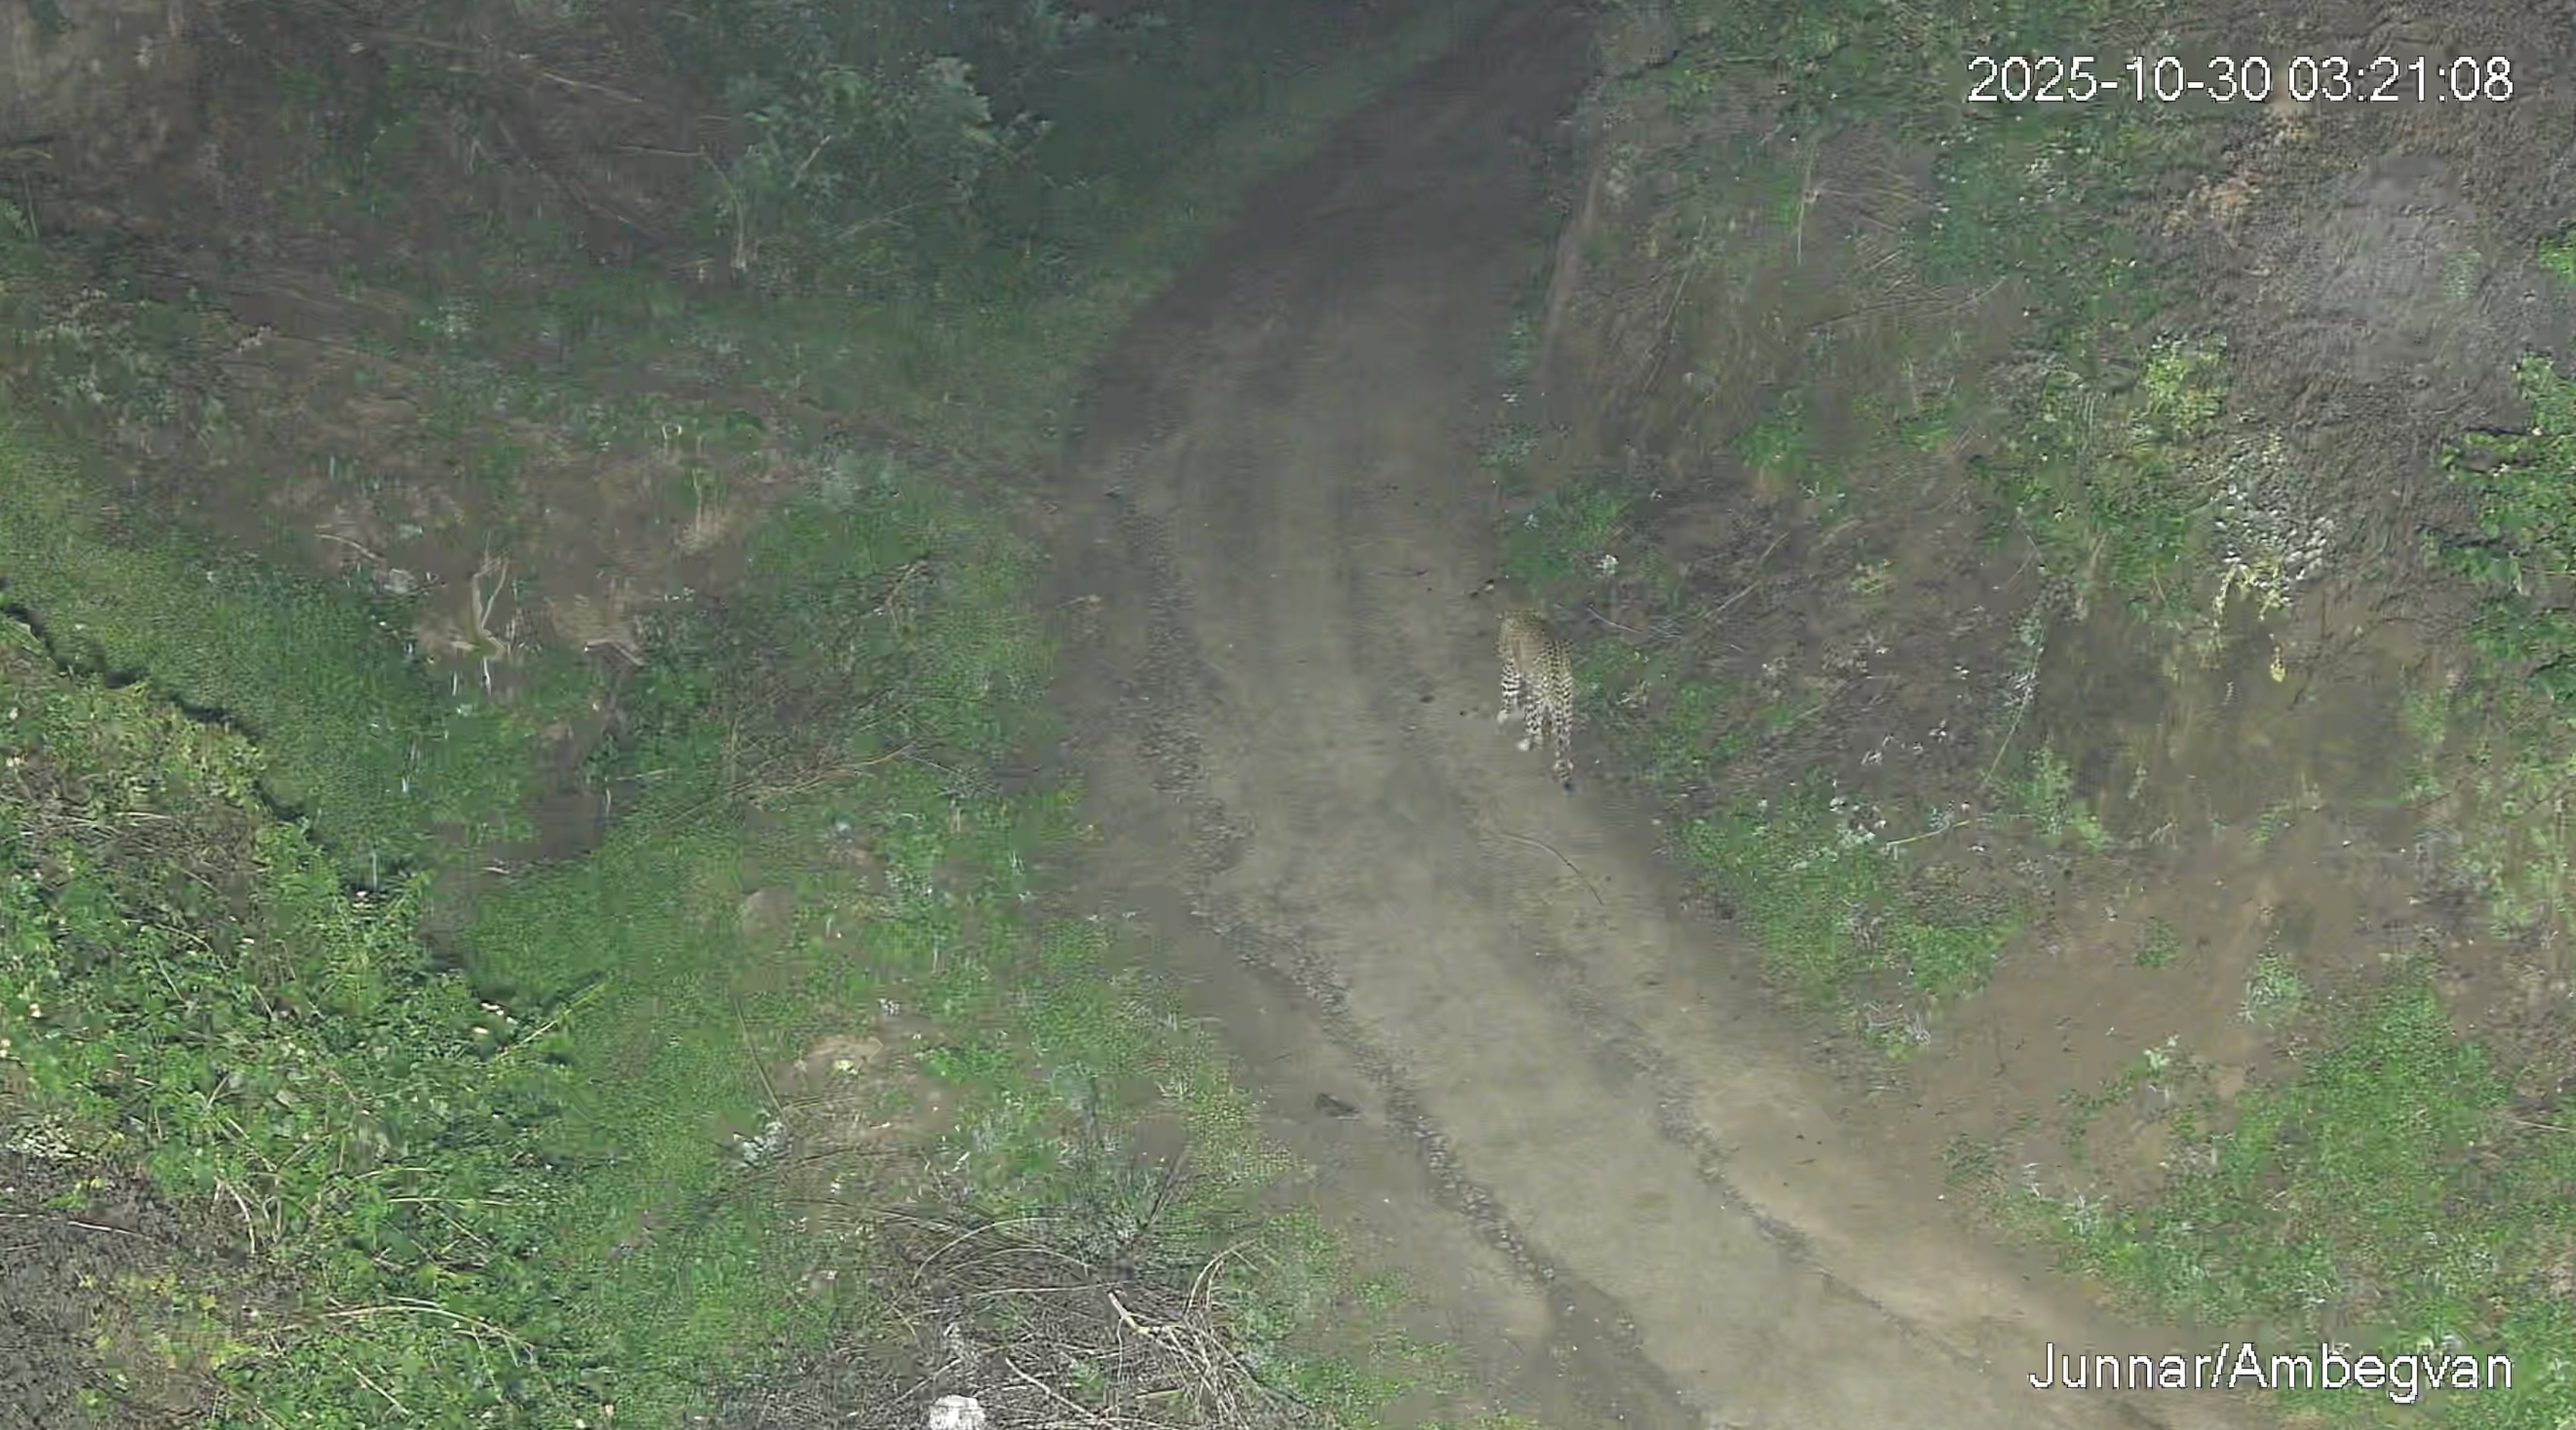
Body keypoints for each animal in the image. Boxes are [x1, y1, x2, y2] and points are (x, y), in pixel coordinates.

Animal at [1496, 609, 1576, 790]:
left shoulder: (1511, 671)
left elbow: (1508, 696)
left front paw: (1505, 714)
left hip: (1534, 698)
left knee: (1534, 727)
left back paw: (1527, 744)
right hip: (1566, 703)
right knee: (1564, 737)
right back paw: (1564, 762)